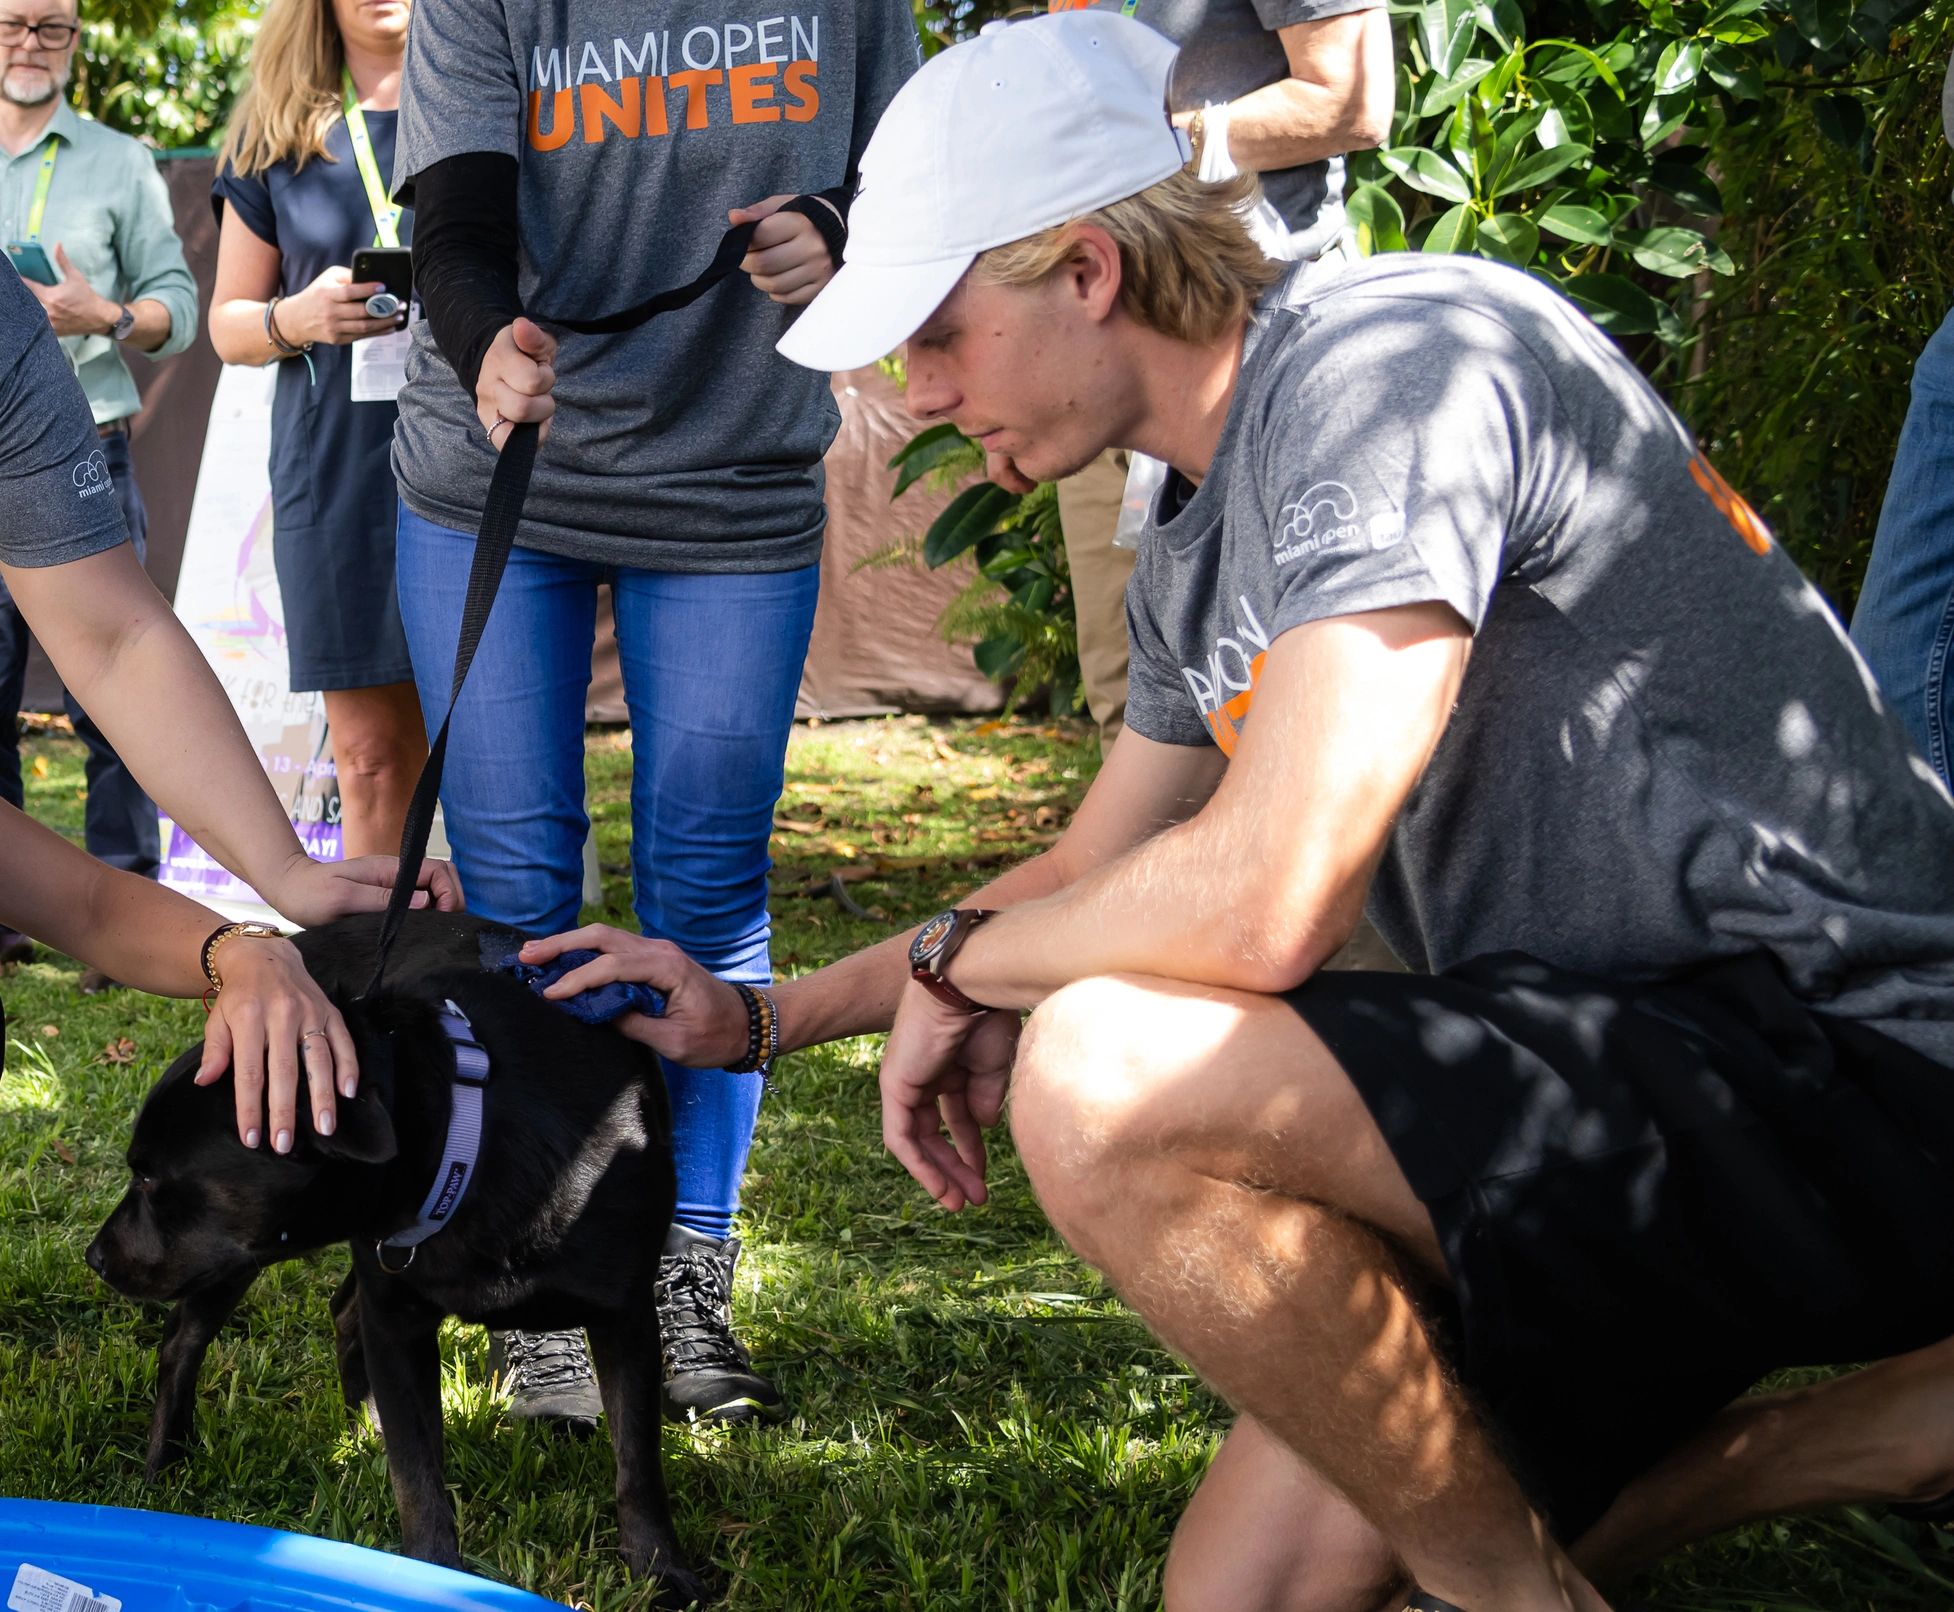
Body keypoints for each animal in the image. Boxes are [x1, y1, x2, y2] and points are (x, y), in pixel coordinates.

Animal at [87, 910, 711, 1602]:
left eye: (150, 1178)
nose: (95, 1257)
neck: (467, 1135)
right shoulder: (396, 1315)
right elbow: (418, 1481)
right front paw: (430, 1573)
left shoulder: (625, 1315)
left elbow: (638, 1462)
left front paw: (660, 1570)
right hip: (237, 1260)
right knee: (184, 1340)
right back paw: (165, 1461)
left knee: (336, 1313)